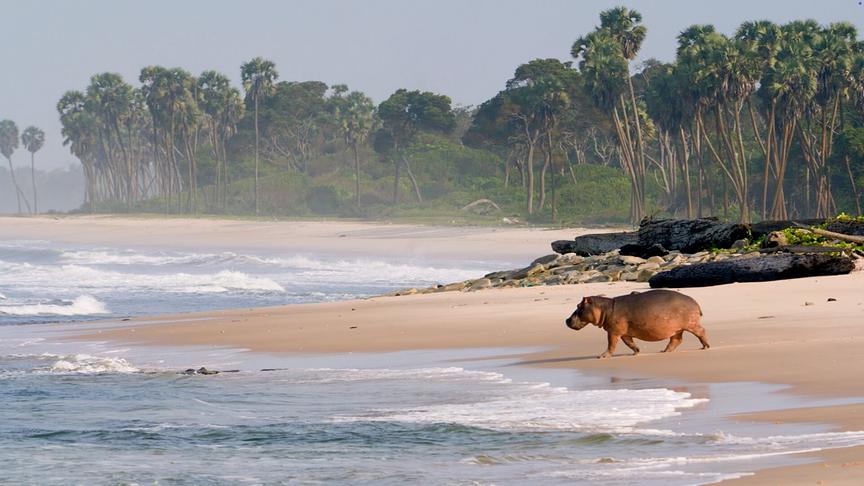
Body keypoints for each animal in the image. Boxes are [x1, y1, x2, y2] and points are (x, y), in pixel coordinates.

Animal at [565, 289, 709, 359]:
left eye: (579, 306)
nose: (566, 320)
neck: (604, 308)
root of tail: (695, 302)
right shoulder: (624, 333)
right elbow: (630, 343)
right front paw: (636, 352)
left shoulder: (613, 332)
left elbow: (611, 344)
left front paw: (602, 356)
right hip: (677, 329)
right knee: (676, 340)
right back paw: (664, 351)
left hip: (691, 324)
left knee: (701, 332)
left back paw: (705, 347)